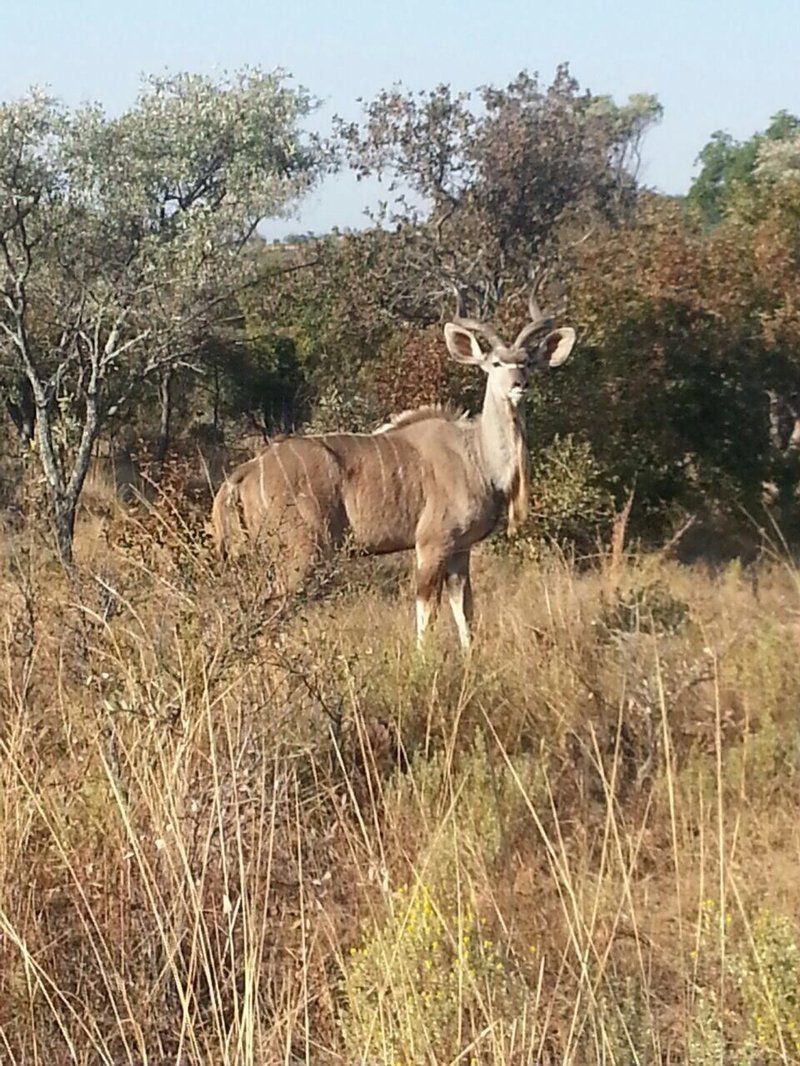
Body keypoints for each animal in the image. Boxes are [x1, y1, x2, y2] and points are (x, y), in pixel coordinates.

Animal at [213, 287, 576, 643]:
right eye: (496, 363)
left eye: (526, 362)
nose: (519, 385)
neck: (477, 455)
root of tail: (243, 474)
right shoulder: (431, 544)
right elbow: (426, 617)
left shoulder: (461, 550)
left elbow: (465, 615)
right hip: (302, 555)